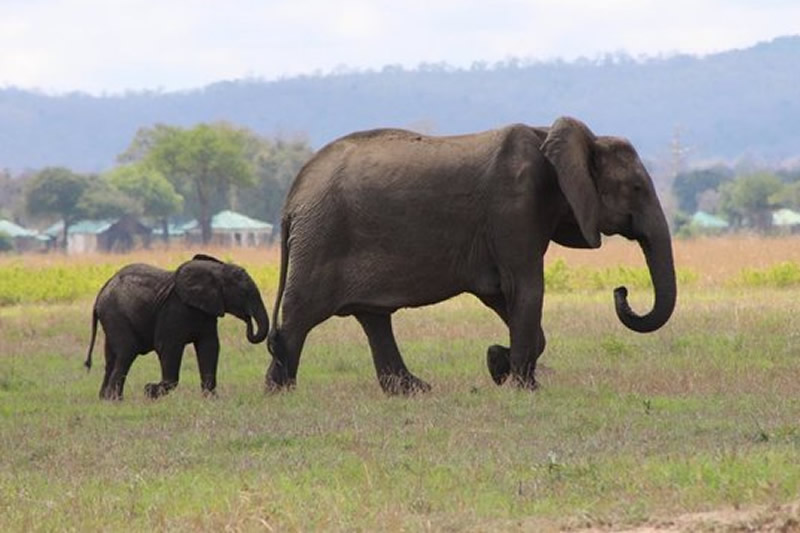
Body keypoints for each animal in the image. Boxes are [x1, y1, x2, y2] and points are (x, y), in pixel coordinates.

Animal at [86, 254, 270, 400]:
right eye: (244, 293)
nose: (248, 319)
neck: (216, 269)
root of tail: (100, 293)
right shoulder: (173, 310)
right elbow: (168, 347)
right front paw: (149, 391)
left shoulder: (207, 311)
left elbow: (209, 346)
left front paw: (211, 399)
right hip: (116, 315)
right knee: (126, 352)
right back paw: (115, 400)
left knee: (111, 357)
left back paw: (104, 398)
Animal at [268, 115, 676, 390]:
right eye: (637, 188)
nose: (621, 291)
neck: (551, 135)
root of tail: (292, 198)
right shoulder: (514, 205)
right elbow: (525, 288)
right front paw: (524, 386)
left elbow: (503, 295)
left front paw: (497, 363)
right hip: (321, 237)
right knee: (300, 316)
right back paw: (280, 392)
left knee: (373, 317)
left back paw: (414, 390)